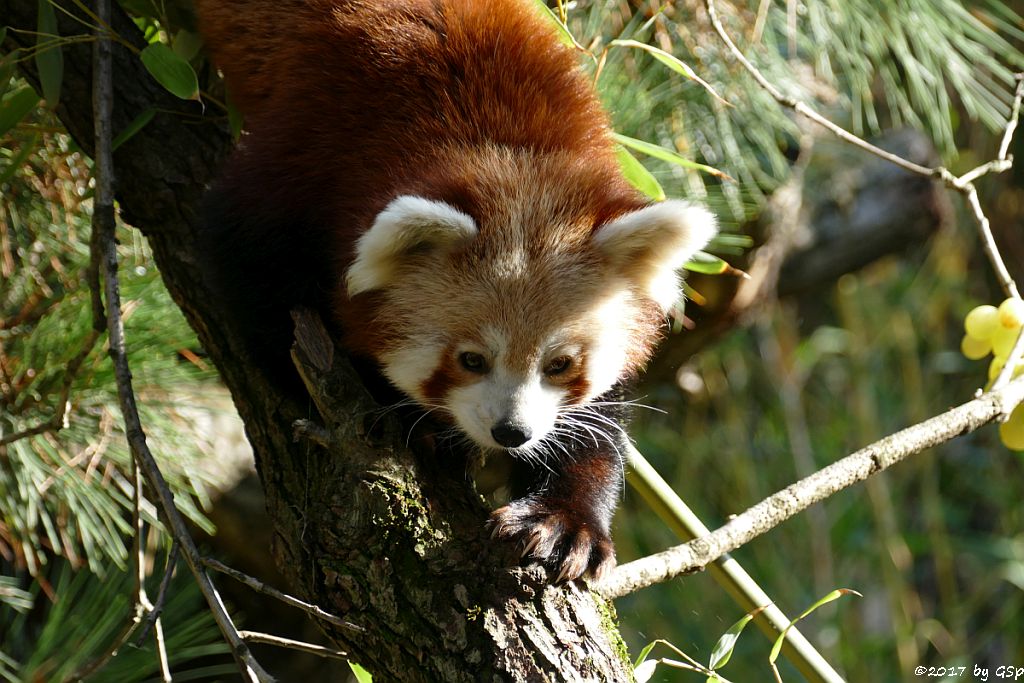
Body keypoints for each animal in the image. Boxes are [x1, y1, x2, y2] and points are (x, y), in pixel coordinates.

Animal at [195, 0, 716, 581]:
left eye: (559, 364)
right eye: (470, 360)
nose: (512, 433)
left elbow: (593, 420)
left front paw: (564, 520)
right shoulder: (308, 146)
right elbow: (252, 281)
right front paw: (406, 416)